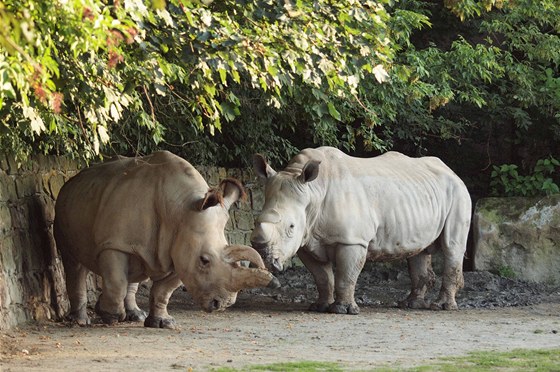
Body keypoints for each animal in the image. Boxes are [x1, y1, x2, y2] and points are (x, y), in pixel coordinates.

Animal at [54, 150, 278, 328]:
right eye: (204, 260)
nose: (221, 305)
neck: (180, 210)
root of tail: (73, 180)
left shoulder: (181, 248)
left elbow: (164, 290)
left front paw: (162, 322)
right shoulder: (114, 244)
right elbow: (116, 280)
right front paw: (109, 316)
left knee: (135, 269)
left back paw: (135, 315)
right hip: (64, 205)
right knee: (74, 264)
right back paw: (80, 321)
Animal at [252, 147, 470, 316]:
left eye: (291, 227)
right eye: (256, 221)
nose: (263, 257)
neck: (313, 192)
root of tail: (452, 172)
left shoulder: (352, 240)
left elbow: (346, 276)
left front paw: (343, 310)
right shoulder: (307, 240)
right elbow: (322, 277)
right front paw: (319, 307)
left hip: (458, 193)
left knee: (452, 247)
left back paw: (442, 307)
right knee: (419, 252)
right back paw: (411, 304)